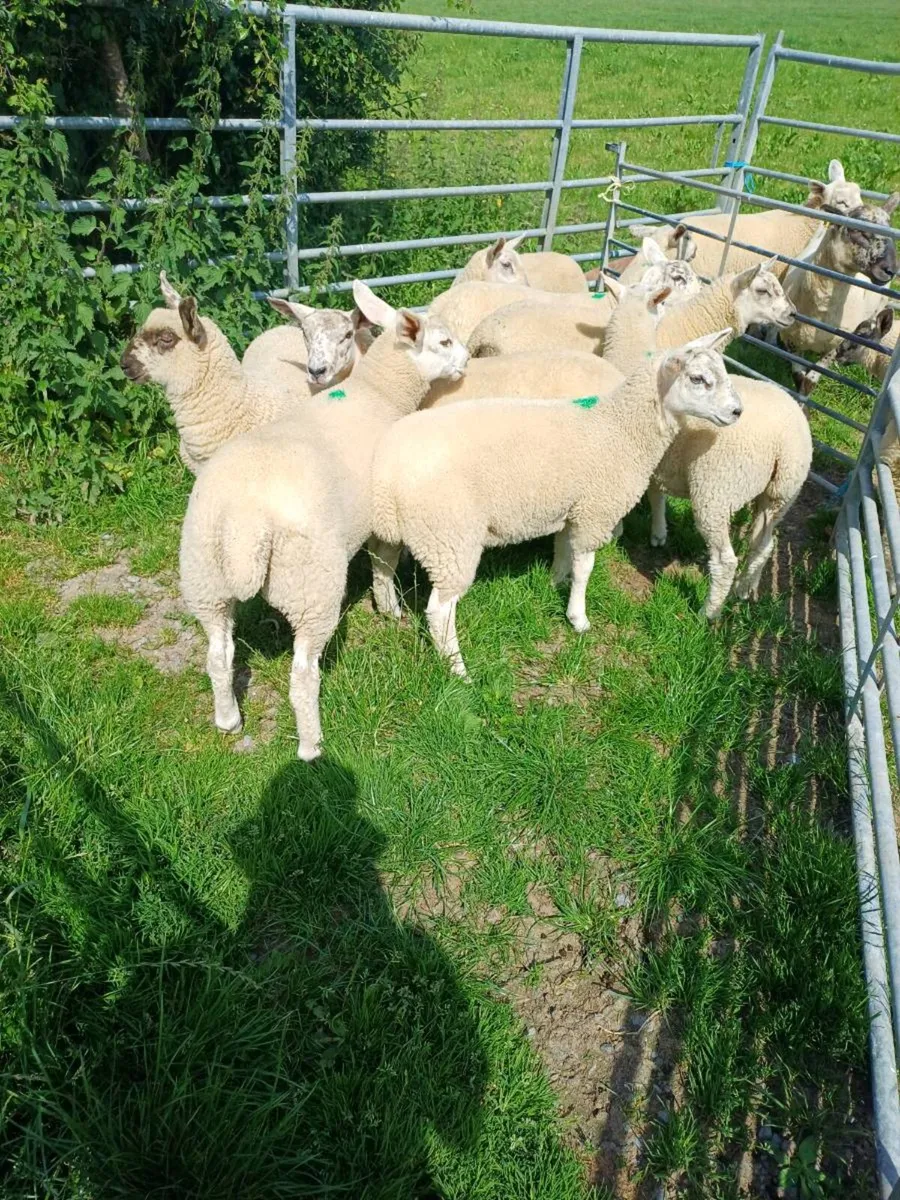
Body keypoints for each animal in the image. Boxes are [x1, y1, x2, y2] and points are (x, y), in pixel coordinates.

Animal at [371, 330, 741, 678]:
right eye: (698, 379)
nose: (738, 411)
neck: (619, 429)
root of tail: (386, 466)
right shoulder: (594, 512)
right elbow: (585, 567)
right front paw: (578, 618)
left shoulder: (571, 507)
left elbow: (563, 551)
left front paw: (554, 582)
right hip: (449, 535)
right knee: (439, 610)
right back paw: (458, 671)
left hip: (398, 528)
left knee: (382, 566)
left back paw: (390, 610)